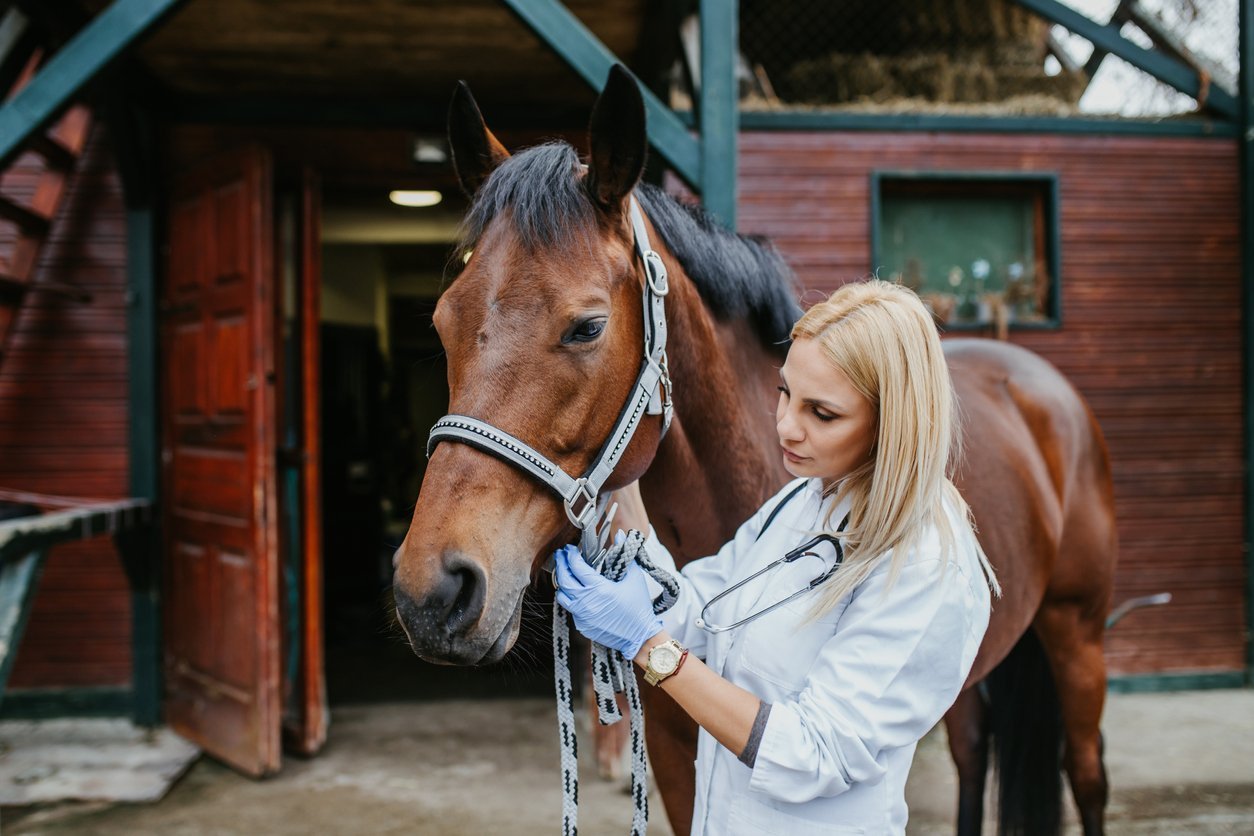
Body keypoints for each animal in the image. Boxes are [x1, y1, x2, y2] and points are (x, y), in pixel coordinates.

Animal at [391, 66, 1117, 836]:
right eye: (442, 321)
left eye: (587, 326)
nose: (432, 593)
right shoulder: (673, 751)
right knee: (975, 752)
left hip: (1078, 633)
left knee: (1086, 772)